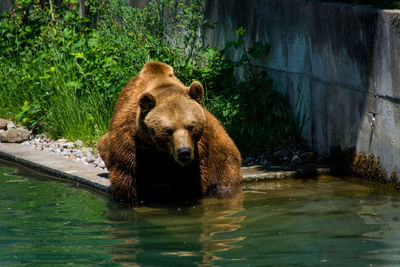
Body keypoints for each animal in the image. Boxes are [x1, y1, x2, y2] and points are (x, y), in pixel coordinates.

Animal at [98, 60, 242, 204]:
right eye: (168, 130)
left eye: (190, 126)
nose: (184, 152)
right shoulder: (130, 138)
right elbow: (127, 174)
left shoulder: (199, 148)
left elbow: (193, 180)